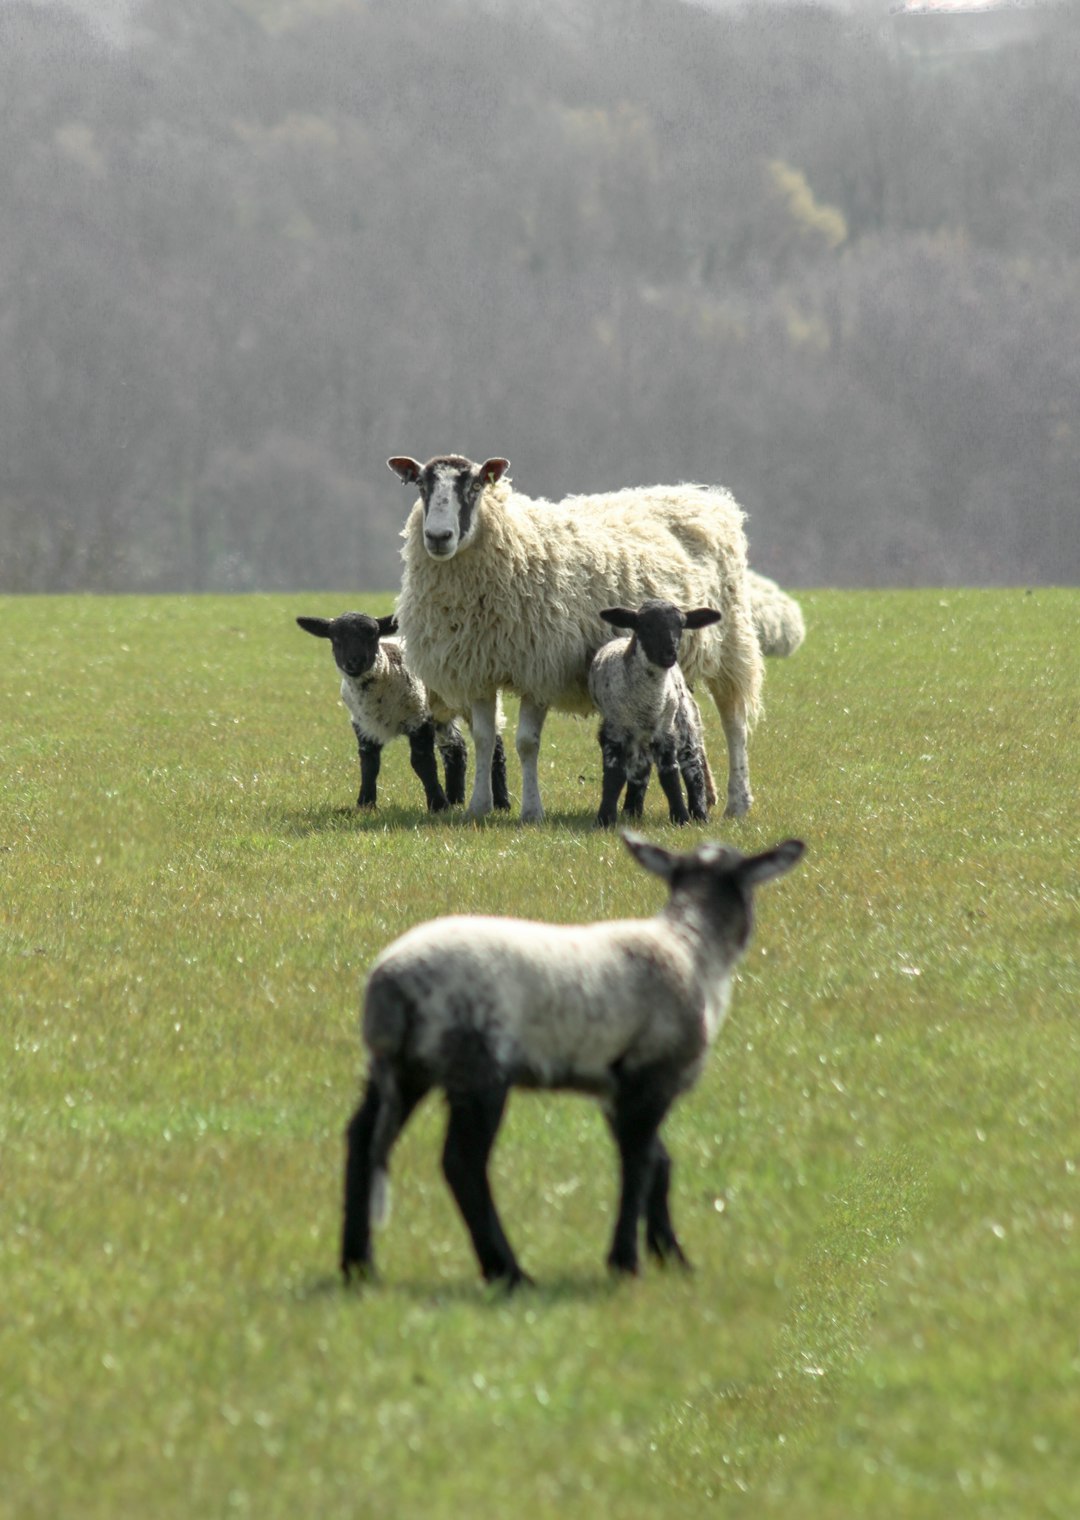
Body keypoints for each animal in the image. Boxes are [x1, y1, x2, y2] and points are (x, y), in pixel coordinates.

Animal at [297, 608, 513, 814]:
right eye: (335, 638)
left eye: (373, 634)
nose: (355, 661)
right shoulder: (363, 725)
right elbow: (369, 763)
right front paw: (365, 804)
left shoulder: (419, 717)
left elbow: (422, 762)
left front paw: (437, 805)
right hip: (440, 709)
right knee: (455, 748)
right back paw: (455, 800)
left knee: (495, 748)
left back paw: (501, 803)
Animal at [341, 826, 808, 1288]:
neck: (692, 946)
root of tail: (390, 985)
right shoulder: (652, 1073)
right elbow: (639, 1165)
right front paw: (626, 1261)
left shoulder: (615, 1087)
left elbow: (659, 1165)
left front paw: (671, 1257)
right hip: (475, 1066)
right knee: (462, 1162)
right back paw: (507, 1272)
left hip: (404, 1069)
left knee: (361, 1137)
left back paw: (358, 1265)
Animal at [586, 595, 723, 832]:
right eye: (645, 625)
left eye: (681, 625)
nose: (670, 653)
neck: (648, 701)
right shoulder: (614, 730)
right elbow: (614, 774)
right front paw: (605, 818)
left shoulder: (665, 731)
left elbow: (670, 774)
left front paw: (681, 817)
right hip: (637, 737)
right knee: (640, 769)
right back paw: (632, 811)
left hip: (683, 719)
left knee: (692, 766)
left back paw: (700, 814)